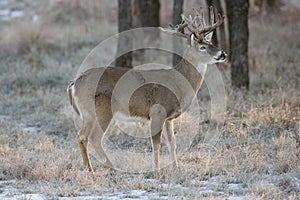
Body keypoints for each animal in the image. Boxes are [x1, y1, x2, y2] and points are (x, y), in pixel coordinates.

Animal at [68, 6, 226, 175]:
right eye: (202, 47)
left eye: (211, 42)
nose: (223, 53)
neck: (179, 83)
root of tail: (74, 83)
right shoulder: (157, 112)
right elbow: (156, 143)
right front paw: (156, 171)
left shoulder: (170, 117)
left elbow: (172, 143)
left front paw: (176, 169)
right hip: (102, 110)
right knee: (94, 138)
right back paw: (112, 168)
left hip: (87, 114)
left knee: (81, 136)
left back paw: (90, 169)